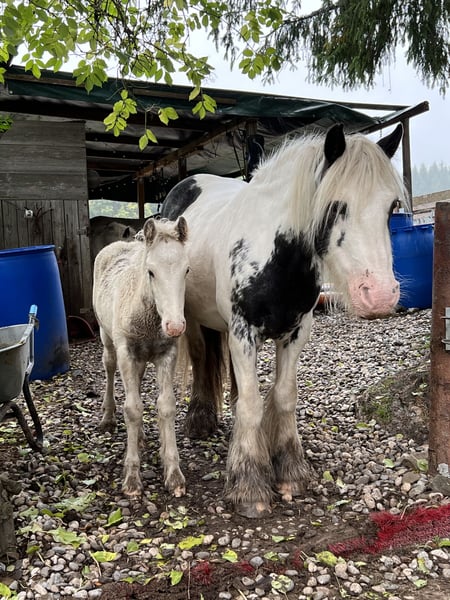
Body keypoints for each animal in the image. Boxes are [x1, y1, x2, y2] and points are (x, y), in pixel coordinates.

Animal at [92, 216, 189, 497]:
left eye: (187, 270)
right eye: (151, 272)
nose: (175, 326)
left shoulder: (166, 354)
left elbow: (166, 406)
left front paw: (173, 473)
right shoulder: (127, 352)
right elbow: (132, 409)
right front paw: (132, 478)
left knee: (137, 381)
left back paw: (142, 435)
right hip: (107, 337)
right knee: (109, 368)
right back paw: (108, 417)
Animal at [160, 123, 407, 518]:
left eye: (391, 207)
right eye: (336, 205)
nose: (381, 295)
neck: (275, 253)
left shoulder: (296, 332)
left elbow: (284, 396)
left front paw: (290, 470)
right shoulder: (242, 334)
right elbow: (251, 404)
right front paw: (249, 486)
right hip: (192, 319)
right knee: (201, 359)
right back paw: (200, 421)